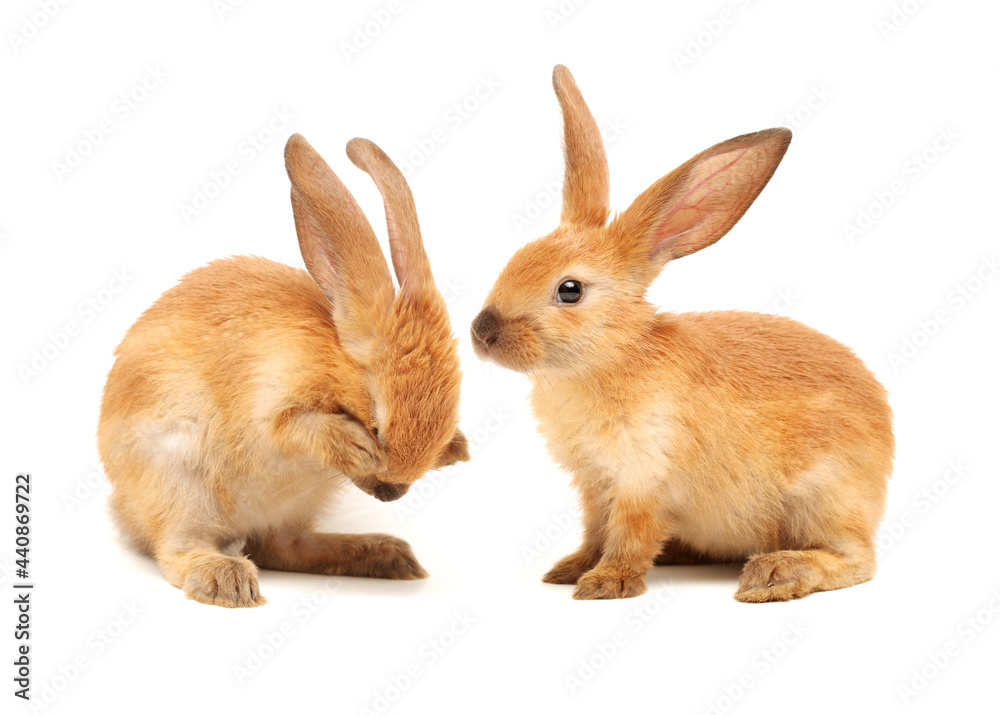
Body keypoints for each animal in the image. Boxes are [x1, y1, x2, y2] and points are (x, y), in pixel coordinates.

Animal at [98, 134, 469, 608]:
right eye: (376, 423)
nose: (394, 492)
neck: (332, 363)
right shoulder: (269, 404)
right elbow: (295, 427)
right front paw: (357, 447)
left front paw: (456, 449)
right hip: (179, 483)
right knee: (180, 549)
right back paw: (226, 579)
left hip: (295, 505)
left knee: (279, 547)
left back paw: (384, 554)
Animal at [471, 65, 893, 602]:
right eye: (517, 257)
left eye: (570, 290)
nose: (481, 333)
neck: (614, 355)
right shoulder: (595, 484)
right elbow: (595, 530)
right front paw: (569, 570)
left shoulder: (645, 479)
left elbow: (630, 535)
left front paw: (605, 584)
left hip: (821, 496)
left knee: (857, 560)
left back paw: (775, 574)